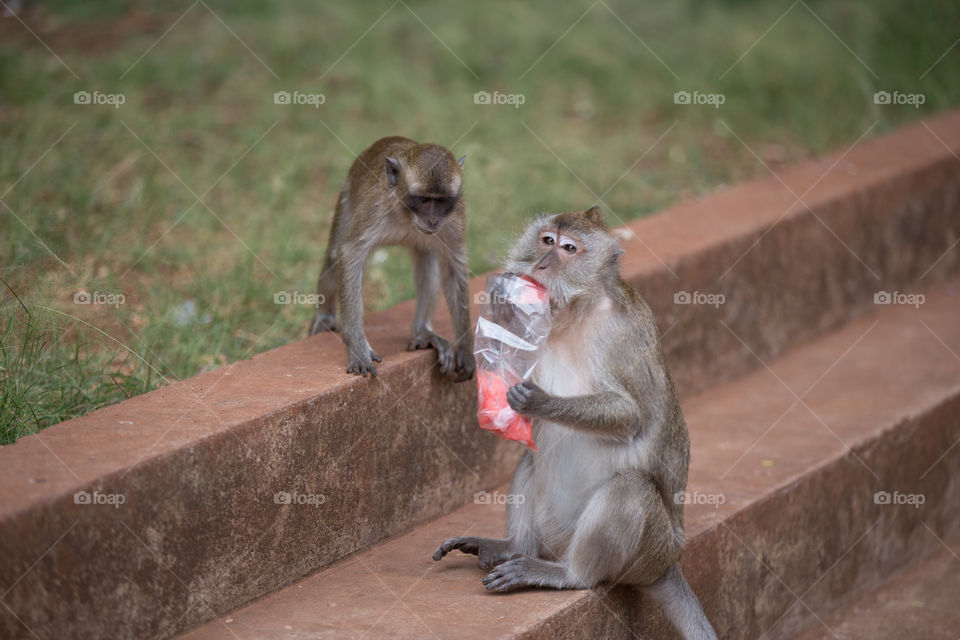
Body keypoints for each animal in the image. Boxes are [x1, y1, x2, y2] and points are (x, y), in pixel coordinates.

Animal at [310, 136, 474, 382]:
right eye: (424, 199)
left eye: (443, 200)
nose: (434, 220)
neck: (407, 213)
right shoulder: (375, 207)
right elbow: (349, 253)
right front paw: (357, 347)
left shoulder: (455, 216)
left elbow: (454, 267)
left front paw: (465, 349)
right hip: (348, 194)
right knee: (333, 256)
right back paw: (324, 317)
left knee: (428, 258)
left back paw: (423, 333)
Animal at [432, 209, 716, 640]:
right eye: (547, 240)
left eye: (569, 249)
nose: (542, 265)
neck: (573, 314)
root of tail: (668, 562)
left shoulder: (621, 335)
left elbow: (632, 417)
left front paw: (540, 401)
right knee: (530, 463)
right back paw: (513, 547)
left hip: (647, 551)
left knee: (630, 489)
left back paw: (567, 574)